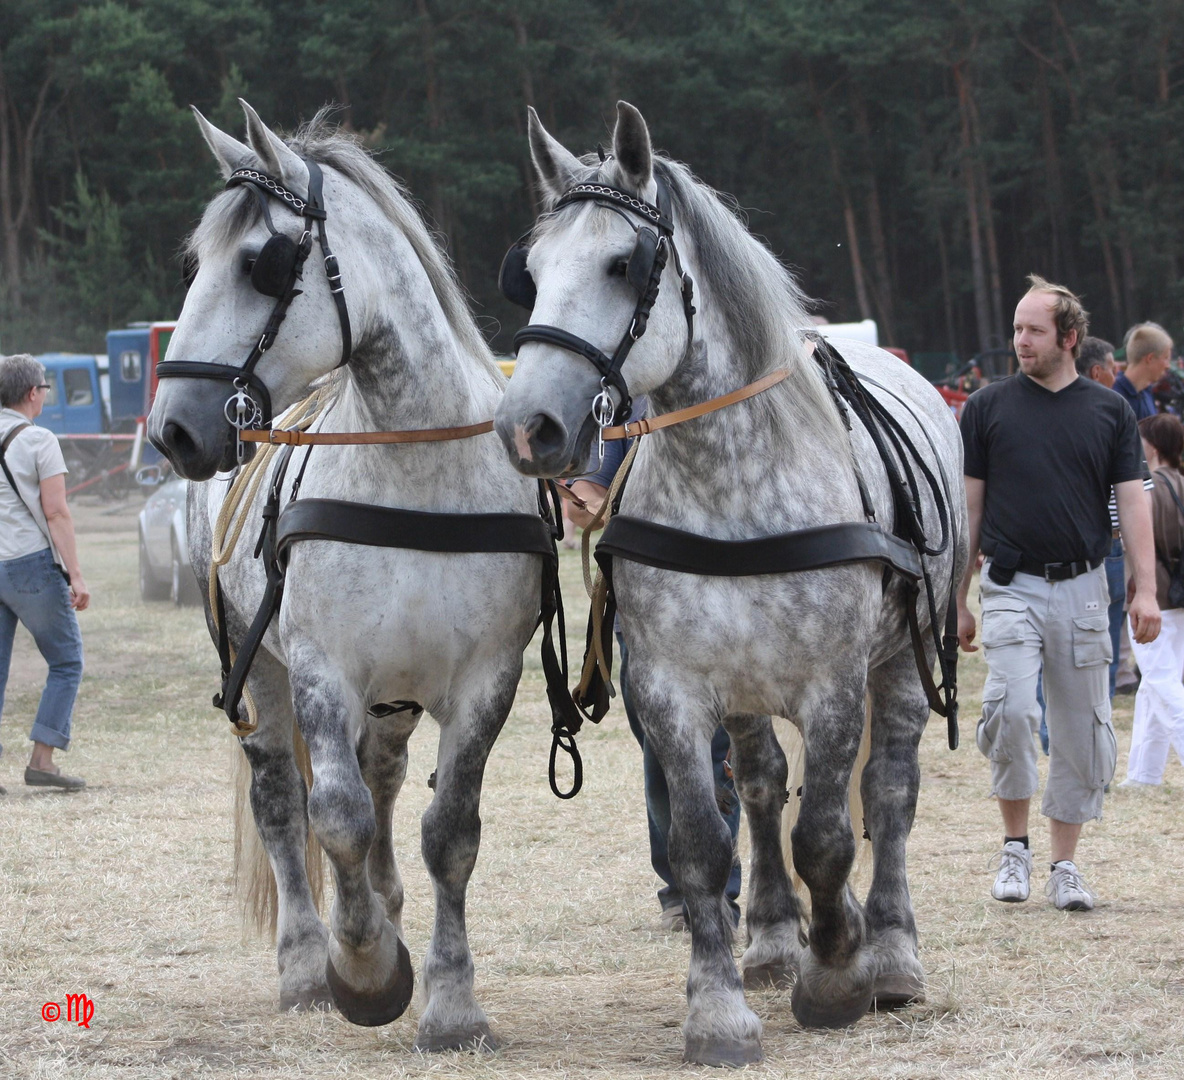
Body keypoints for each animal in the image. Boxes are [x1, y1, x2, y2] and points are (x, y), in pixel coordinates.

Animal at [145, 101, 542, 1046]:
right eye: (196, 261)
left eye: (263, 262)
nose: (172, 429)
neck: (418, 475)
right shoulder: (322, 670)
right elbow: (338, 817)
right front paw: (363, 969)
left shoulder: (487, 678)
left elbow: (449, 831)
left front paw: (451, 1002)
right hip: (259, 674)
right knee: (285, 802)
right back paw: (304, 963)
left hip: (394, 696)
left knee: (384, 777)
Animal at [494, 105, 966, 1065]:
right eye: (532, 271)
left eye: (623, 263)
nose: (531, 427)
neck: (733, 484)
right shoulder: (673, 688)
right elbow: (705, 846)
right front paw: (718, 1010)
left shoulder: (832, 684)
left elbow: (825, 835)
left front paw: (839, 976)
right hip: (744, 691)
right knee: (758, 784)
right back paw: (778, 940)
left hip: (899, 664)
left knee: (886, 795)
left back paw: (892, 954)